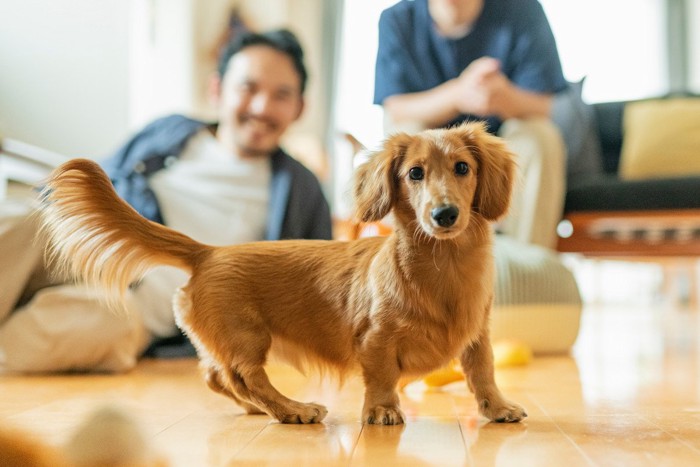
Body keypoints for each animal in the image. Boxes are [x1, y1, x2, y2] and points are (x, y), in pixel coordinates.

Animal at [38, 122, 524, 426]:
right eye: (415, 173)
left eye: (462, 167)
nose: (444, 215)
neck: (444, 267)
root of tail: (207, 252)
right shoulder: (375, 339)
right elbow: (382, 378)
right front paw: (383, 411)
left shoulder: (478, 334)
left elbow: (482, 371)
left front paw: (496, 407)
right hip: (249, 336)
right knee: (244, 376)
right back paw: (291, 410)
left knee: (216, 376)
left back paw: (261, 409)